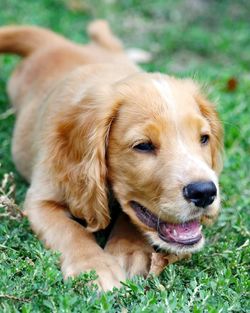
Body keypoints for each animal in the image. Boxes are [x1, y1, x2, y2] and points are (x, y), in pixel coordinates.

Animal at [0, 20, 223, 290]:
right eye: (143, 146)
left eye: (204, 138)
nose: (205, 192)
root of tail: (55, 44)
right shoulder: (40, 200)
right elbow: (71, 231)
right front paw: (95, 268)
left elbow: (132, 219)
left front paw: (130, 252)